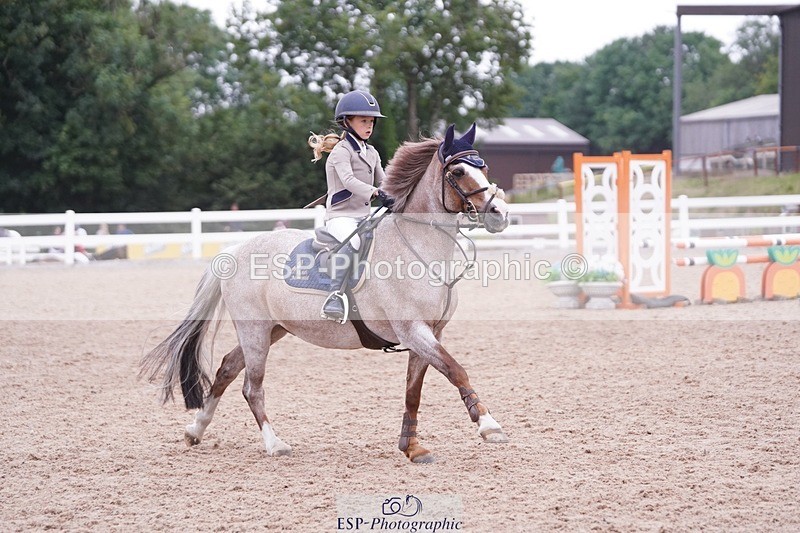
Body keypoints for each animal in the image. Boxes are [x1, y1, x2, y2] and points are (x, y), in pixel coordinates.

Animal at [140, 123, 511, 463]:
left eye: (483, 167)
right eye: (458, 171)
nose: (500, 214)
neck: (418, 248)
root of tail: (235, 250)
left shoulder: (430, 333)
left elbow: (413, 392)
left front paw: (412, 447)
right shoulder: (414, 331)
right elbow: (455, 370)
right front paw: (489, 426)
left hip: (272, 329)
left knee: (226, 370)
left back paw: (195, 430)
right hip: (254, 330)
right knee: (251, 387)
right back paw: (275, 444)